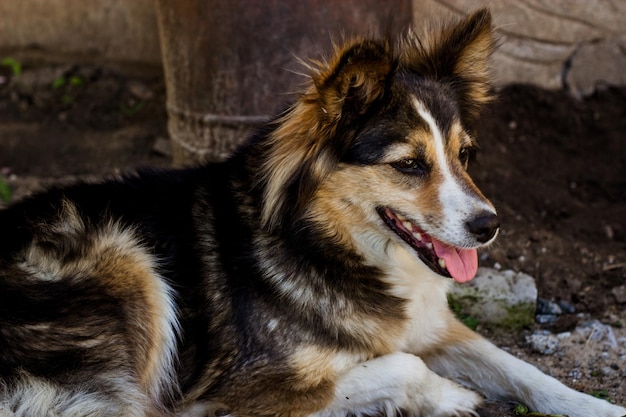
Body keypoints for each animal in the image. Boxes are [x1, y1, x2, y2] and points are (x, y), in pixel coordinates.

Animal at [1, 8, 624, 416]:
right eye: (409, 165)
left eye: (465, 155)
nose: (489, 226)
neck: (324, 242)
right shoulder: (249, 386)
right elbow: (401, 366)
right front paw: (450, 396)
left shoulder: (436, 325)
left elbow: (524, 370)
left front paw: (598, 407)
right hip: (122, 259)